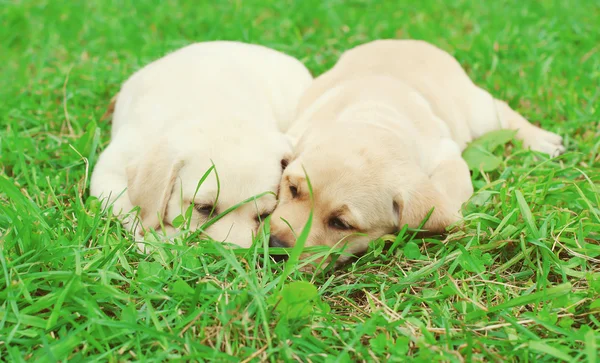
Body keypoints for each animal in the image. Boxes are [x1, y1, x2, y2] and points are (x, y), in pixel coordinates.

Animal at [91, 41, 314, 249]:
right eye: (204, 208)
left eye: (265, 214)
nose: (239, 260)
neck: (215, 110)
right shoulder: (109, 171)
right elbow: (132, 209)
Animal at [270, 39, 564, 262]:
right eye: (292, 189)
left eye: (341, 224)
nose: (275, 248)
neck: (373, 115)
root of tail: (409, 41)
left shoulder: (445, 153)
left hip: (476, 110)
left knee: (501, 110)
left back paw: (540, 140)